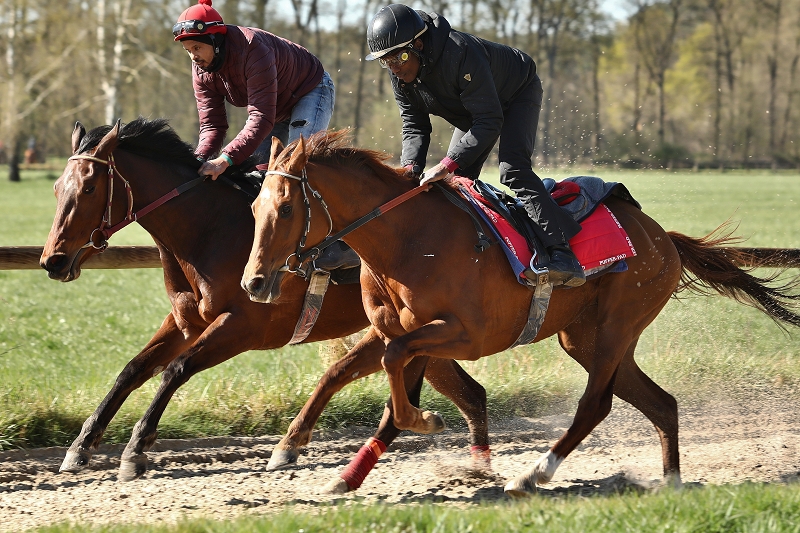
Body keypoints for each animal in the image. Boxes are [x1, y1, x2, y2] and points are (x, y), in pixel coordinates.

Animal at [40, 118, 491, 482]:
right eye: (58, 188)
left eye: (90, 187)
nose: (52, 260)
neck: (207, 228)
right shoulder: (186, 322)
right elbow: (132, 370)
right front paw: (80, 447)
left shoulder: (243, 326)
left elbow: (175, 370)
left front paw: (135, 451)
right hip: (421, 331)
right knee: (471, 393)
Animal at [242, 130, 800, 495]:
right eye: (253, 208)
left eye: (287, 207)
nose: (254, 283)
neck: (407, 239)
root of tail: (664, 236)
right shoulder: (391, 328)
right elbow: (343, 371)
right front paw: (299, 451)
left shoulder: (464, 334)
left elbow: (397, 372)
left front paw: (426, 420)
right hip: (585, 337)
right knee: (662, 404)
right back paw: (672, 482)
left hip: (617, 325)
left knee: (596, 405)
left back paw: (534, 473)